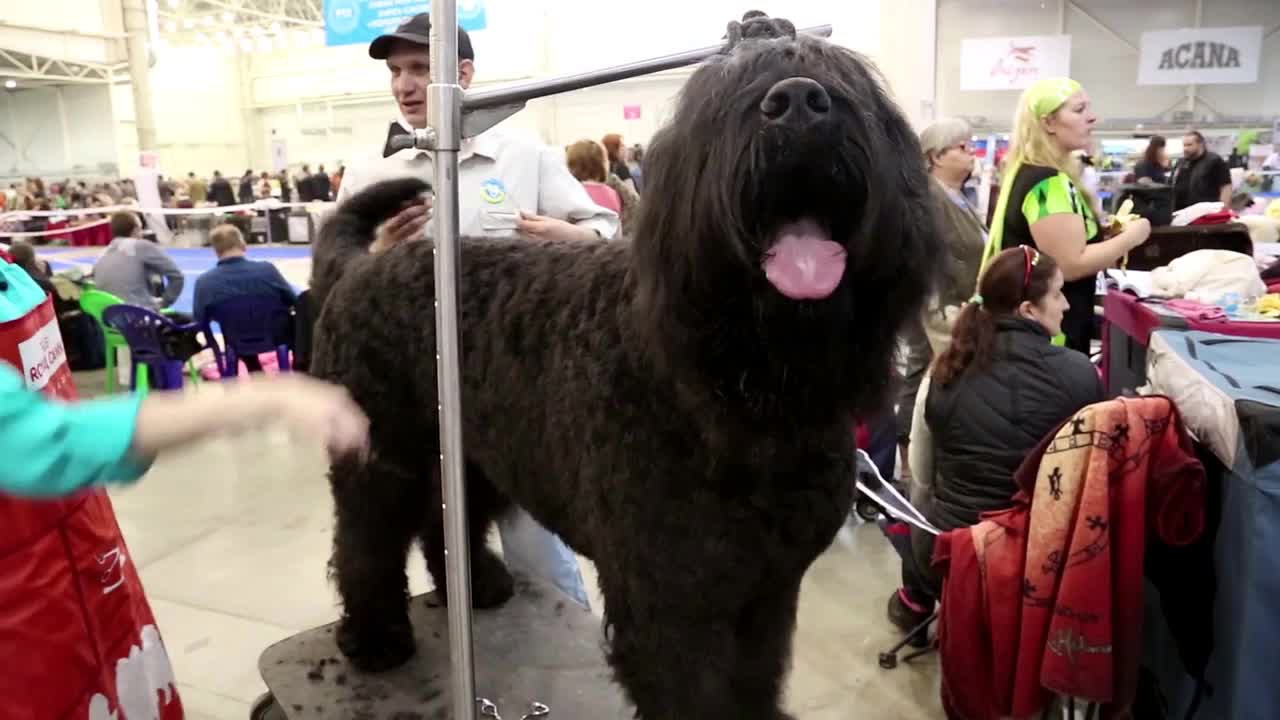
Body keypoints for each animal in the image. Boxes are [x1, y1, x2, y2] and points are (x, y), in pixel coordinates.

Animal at [313, 12, 942, 717]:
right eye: (728, 92)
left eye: (843, 79)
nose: (802, 102)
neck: (736, 384)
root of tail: (359, 268)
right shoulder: (672, 601)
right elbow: (695, 693)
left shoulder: (767, 589)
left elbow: (753, 678)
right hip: (381, 461)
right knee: (364, 543)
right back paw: (375, 638)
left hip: (469, 456)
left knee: (447, 519)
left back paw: (476, 587)